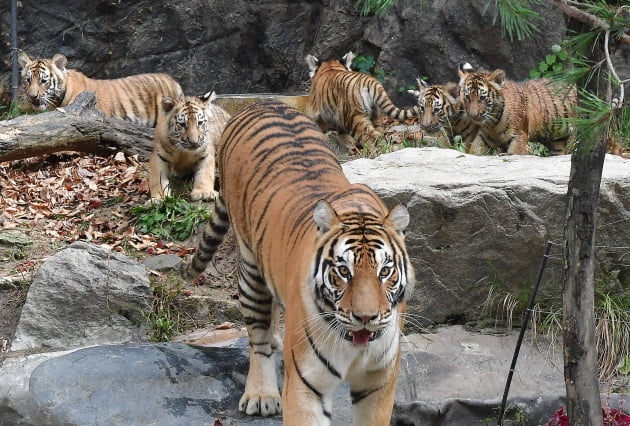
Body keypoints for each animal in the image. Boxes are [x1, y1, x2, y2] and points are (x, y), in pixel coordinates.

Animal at [180, 100, 418, 426]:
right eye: (343, 272)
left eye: (385, 272)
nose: (366, 318)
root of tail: (261, 103)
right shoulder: (307, 385)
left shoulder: (379, 383)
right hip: (250, 268)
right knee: (257, 336)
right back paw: (261, 393)